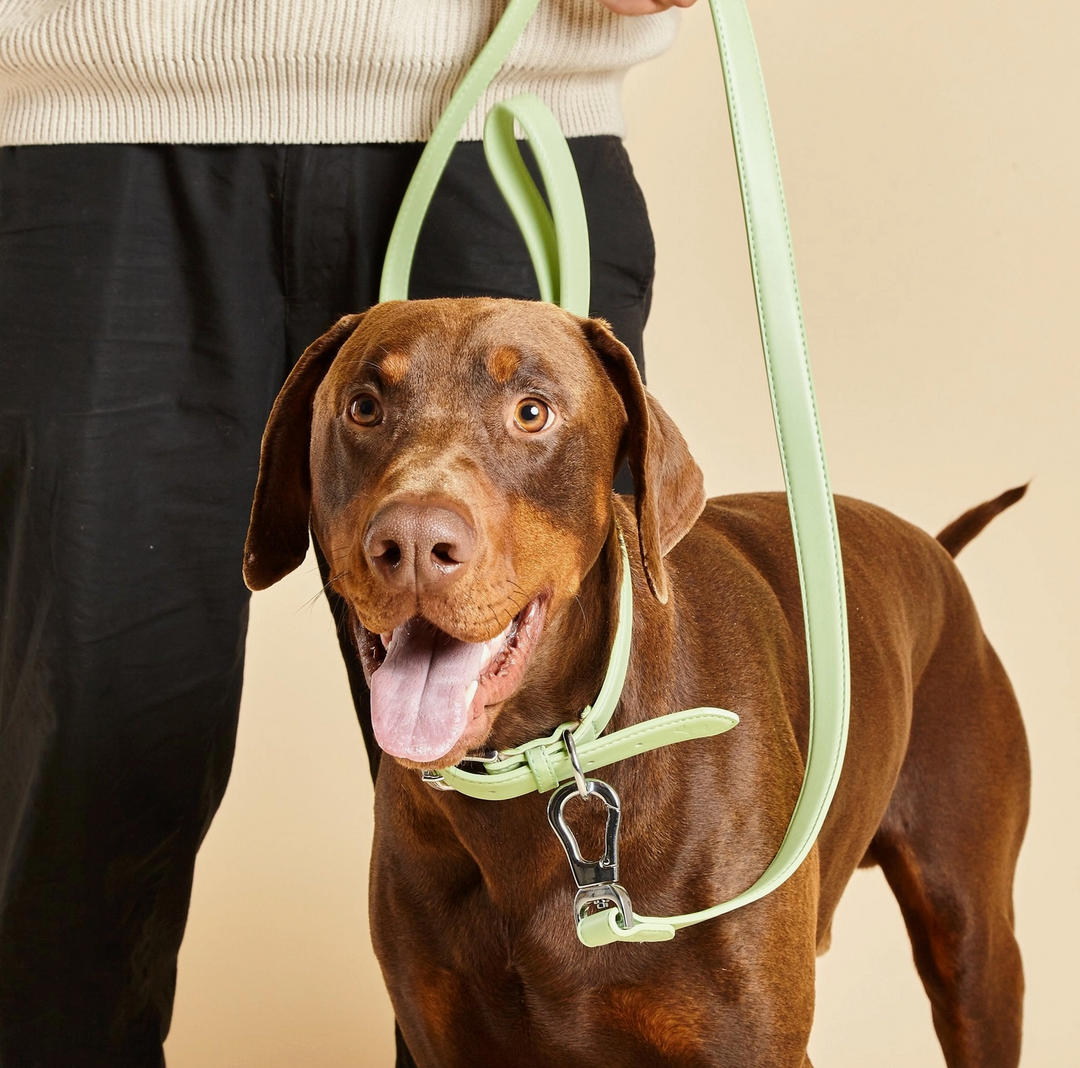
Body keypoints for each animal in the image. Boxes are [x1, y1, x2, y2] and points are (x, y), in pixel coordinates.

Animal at [245, 298, 1028, 1066]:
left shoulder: (749, 1042)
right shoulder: (444, 1037)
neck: (529, 769)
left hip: (973, 941)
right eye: (364, 407)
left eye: (532, 412)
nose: (410, 543)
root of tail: (936, 551)